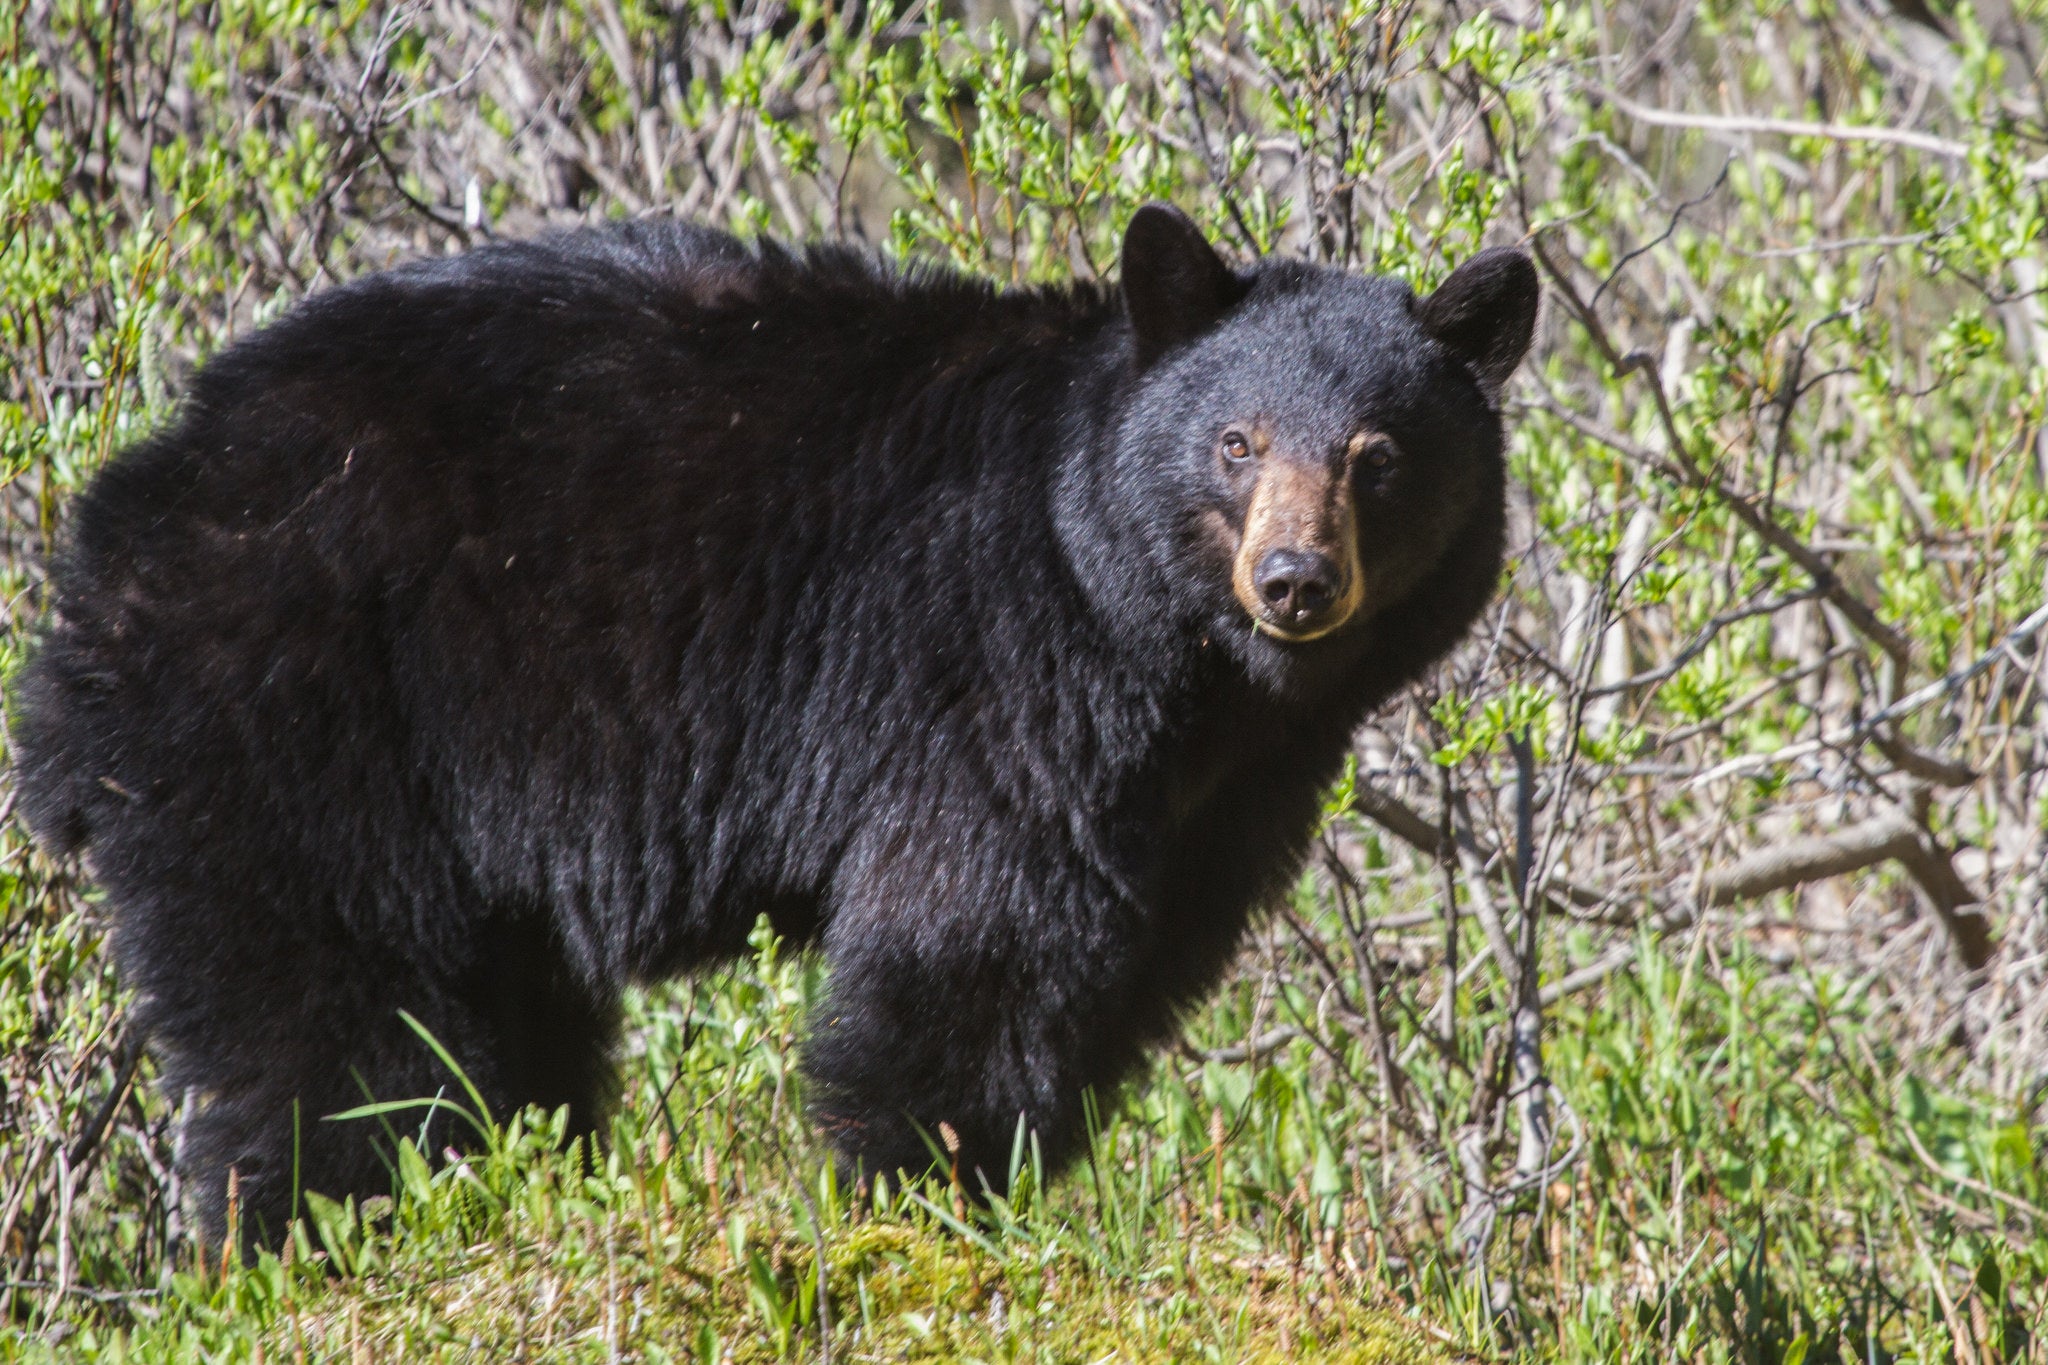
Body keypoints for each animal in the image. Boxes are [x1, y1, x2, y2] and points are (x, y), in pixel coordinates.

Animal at [13, 204, 1536, 1249]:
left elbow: (1125, 969)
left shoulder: (1217, 799)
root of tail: (112, 529)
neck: (1171, 657)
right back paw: (327, 1226)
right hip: (301, 710)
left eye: (1377, 456)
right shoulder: (995, 674)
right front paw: (925, 1195)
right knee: (326, 1013)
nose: (1294, 581)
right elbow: (966, 940)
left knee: (494, 1016)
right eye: (1236, 443)